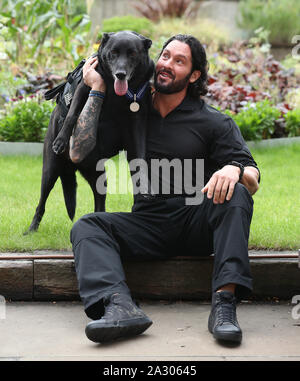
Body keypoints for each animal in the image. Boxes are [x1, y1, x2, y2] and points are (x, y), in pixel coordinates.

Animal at [24, 31, 154, 232]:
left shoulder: (138, 119)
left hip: (99, 177)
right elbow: (72, 115)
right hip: (50, 171)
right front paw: (61, 140)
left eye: (132, 54)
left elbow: (139, 156)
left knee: (99, 204)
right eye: (113, 53)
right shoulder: (84, 88)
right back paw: (32, 229)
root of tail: (71, 165)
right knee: (41, 202)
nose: (120, 74)